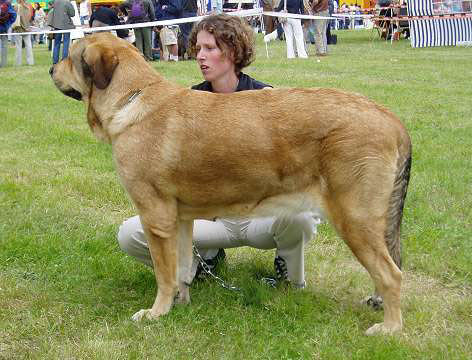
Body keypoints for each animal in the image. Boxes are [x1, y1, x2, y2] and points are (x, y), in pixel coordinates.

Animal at [49, 32, 412, 336]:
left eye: (70, 56)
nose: (52, 68)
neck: (130, 98)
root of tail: (390, 118)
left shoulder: (156, 218)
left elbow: (164, 274)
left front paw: (156, 313)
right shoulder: (180, 220)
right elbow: (182, 268)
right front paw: (181, 305)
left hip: (355, 219)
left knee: (392, 274)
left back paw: (389, 328)